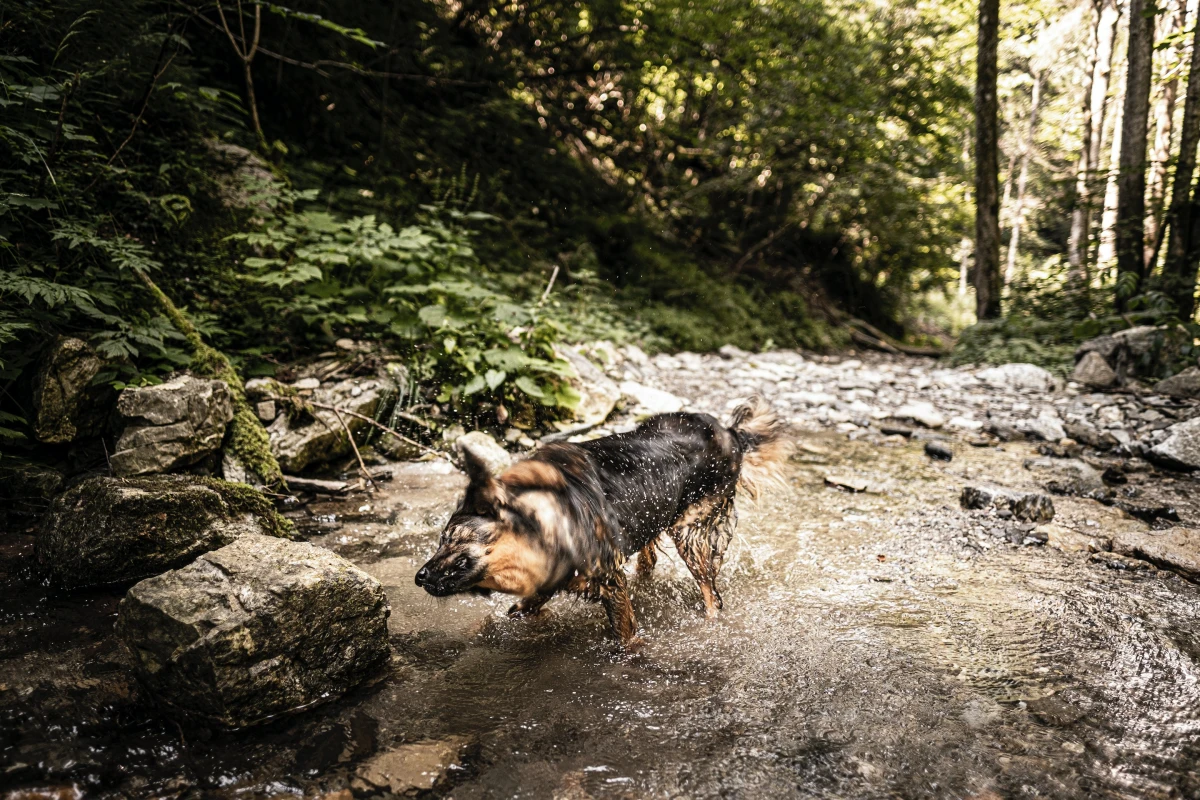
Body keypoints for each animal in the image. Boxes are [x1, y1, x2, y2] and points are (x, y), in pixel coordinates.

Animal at [412, 398, 787, 642]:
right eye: (441, 539)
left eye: (454, 538)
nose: (419, 577)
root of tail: (729, 431)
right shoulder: (548, 581)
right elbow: (519, 610)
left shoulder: (608, 581)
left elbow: (625, 637)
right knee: (650, 551)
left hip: (691, 533)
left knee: (711, 593)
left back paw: (712, 619)